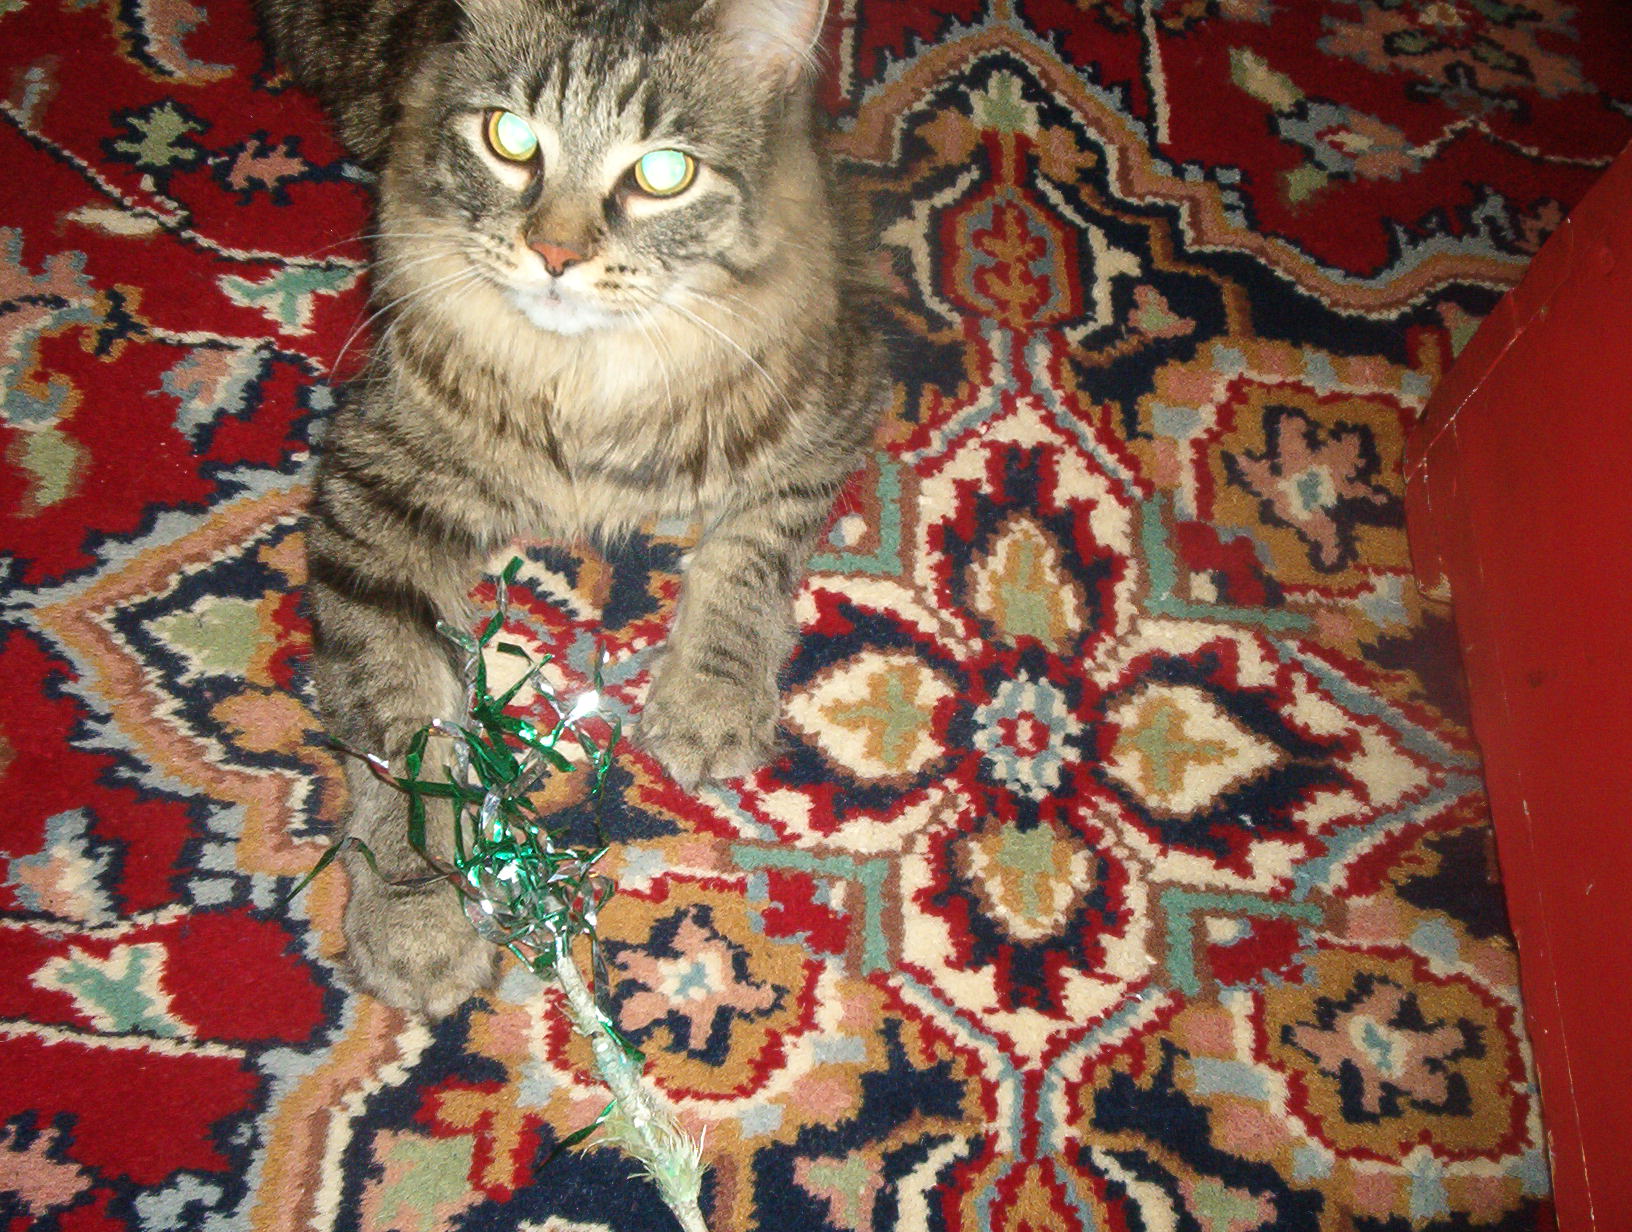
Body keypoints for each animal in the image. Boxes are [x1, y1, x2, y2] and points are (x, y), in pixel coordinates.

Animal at [257, 0, 887, 1017]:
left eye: (664, 173)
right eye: (511, 140)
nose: (555, 253)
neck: (587, 384)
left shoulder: (836, 408)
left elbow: (748, 558)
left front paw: (710, 695)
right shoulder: (370, 484)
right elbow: (403, 724)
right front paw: (418, 912)